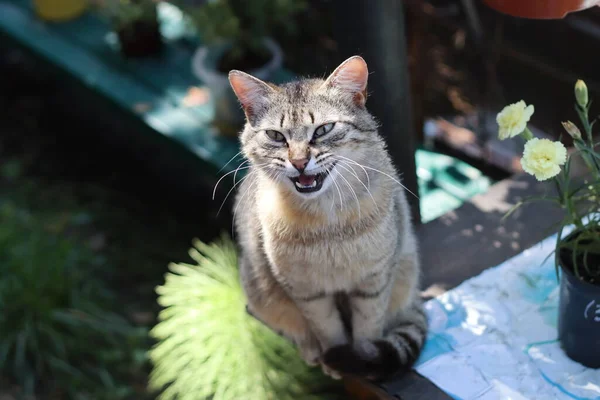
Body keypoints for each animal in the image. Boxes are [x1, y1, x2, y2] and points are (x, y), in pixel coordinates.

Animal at [230, 56, 426, 382]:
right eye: (275, 136)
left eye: (323, 130)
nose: (298, 162)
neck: (326, 224)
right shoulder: (307, 291)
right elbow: (328, 328)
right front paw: (335, 358)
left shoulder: (374, 281)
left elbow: (368, 328)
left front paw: (361, 358)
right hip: (257, 289)